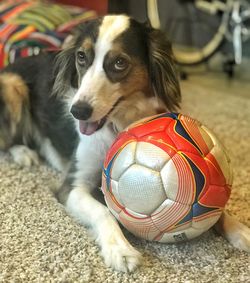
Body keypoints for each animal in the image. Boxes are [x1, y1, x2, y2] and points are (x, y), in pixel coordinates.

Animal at [0, 14, 249, 272]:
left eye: (119, 63)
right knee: (5, 141)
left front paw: (238, 228)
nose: (78, 111)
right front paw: (121, 250)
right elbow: (103, 211)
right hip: (12, 85)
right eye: (81, 56)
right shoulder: (72, 186)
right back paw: (23, 153)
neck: (118, 125)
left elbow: (216, 204)